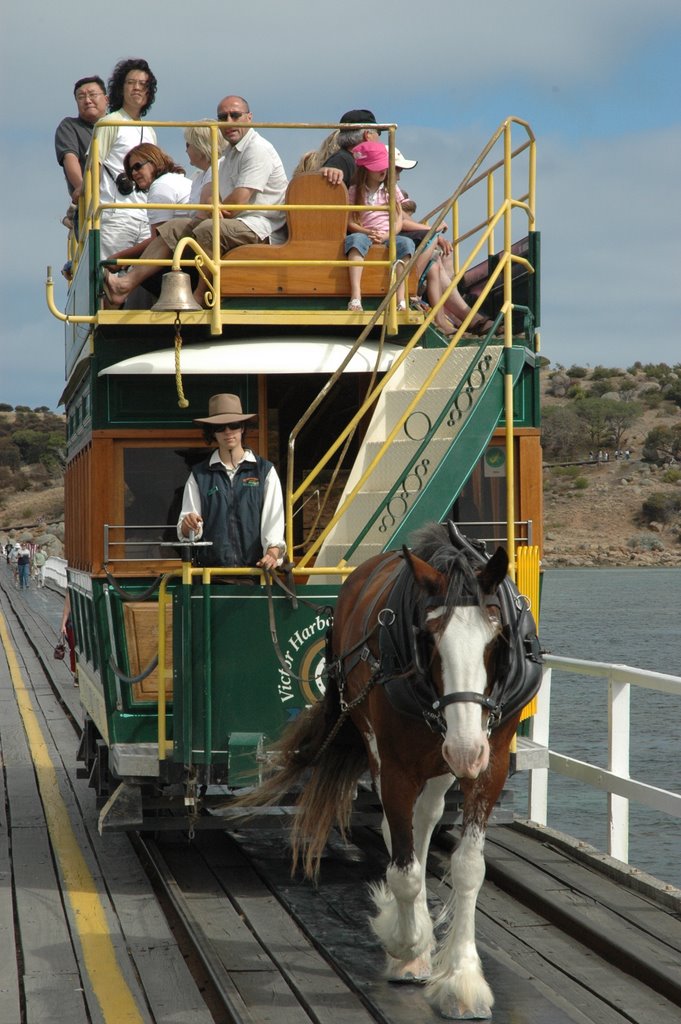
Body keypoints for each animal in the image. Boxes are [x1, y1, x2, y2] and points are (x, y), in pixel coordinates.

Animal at [238, 524, 540, 1019]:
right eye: (429, 638)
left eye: (496, 637)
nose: (465, 748)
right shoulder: (397, 766)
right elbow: (405, 869)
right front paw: (408, 944)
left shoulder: (489, 764)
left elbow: (468, 866)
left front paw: (462, 978)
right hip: (382, 743)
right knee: (397, 831)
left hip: (439, 762)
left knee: (426, 817)